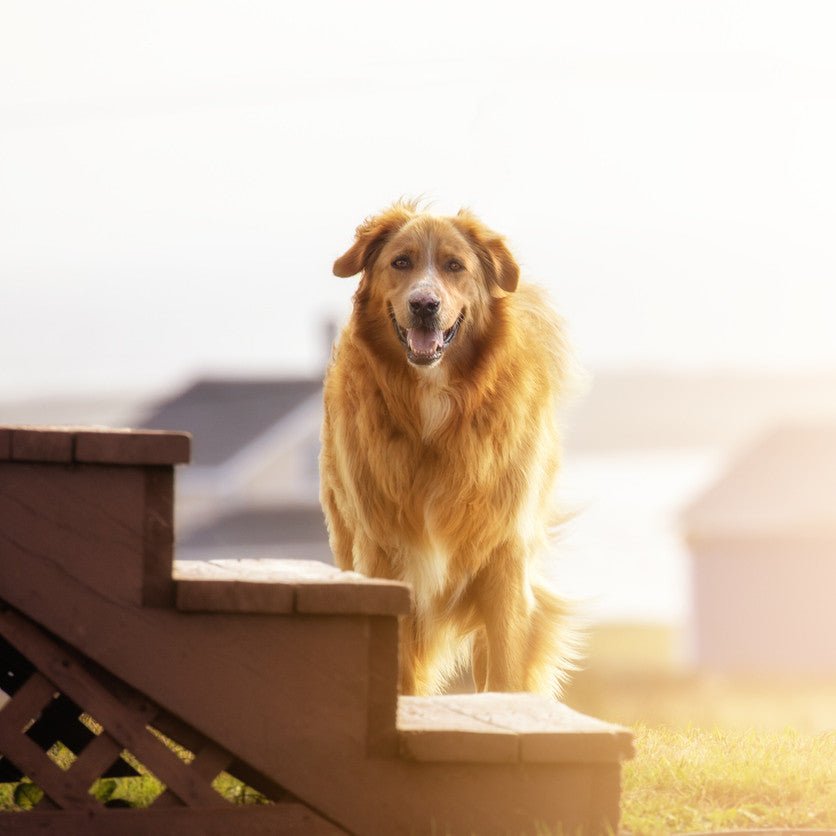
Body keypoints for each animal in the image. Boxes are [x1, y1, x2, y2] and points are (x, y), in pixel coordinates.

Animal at [324, 201, 580, 692]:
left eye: (454, 266)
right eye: (401, 262)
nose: (425, 305)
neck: (435, 403)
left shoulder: (505, 559)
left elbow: (505, 673)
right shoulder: (382, 554)